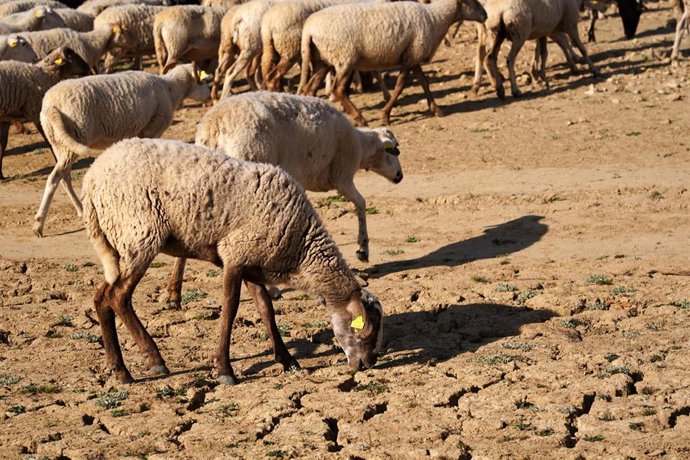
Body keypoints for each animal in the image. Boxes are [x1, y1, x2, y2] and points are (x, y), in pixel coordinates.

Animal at [0, 47, 89, 179]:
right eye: (72, 57)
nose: (88, 69)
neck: (45, 75)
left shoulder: (6, 119)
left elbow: (2, 145)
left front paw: (0, 175)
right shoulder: (37, 112)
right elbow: (49, 142)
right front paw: (58, 161)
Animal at [32, 64, 211, 237]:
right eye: (203, 81)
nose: (210, 98)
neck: (170, 89)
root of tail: (50, 106)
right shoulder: (152, 130)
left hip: (60, 144)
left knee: (64, 177)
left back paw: (81, 210)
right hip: (74, 136)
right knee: (55, 177)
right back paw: (39, 225)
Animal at [82, 138, 384, 384]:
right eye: (367, 331)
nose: (368, 364)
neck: (300, 247)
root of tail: (91, 180)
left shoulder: (253, 262)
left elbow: (266, 309)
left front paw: (287, 359)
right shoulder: (234, 256)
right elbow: (230, 310)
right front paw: (225, 370)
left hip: (121, 243)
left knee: (102, 297)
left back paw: (119, 370)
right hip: (140, 233)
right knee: (119, 297)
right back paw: (154, 360)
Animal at [299, 0, 488, 126]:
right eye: (471, 0)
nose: (485, 15)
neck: (436, 18)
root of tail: (308, 29)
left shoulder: (413, 57)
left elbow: (424, 82)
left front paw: (436, 109)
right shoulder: (411, 57)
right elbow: (399, 87)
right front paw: (385, 115)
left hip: (322, 61)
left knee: (310, 88)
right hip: (345, 59)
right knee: (338, 90)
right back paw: (360, 119)